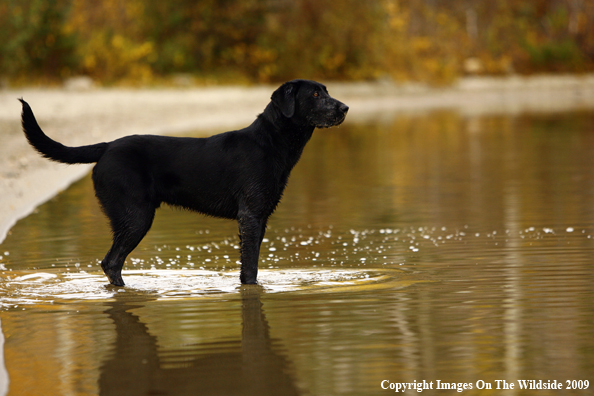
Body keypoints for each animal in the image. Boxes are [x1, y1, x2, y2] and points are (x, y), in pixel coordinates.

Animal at [19, 79, 346, 284]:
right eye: (315, 95)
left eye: (326, 91)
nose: (344, 108)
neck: (272, 142)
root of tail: (107, 146)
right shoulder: (251, 216)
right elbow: (251, 268)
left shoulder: (260, 218)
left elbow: (247, 268)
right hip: (135, 217)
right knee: (111, 262)